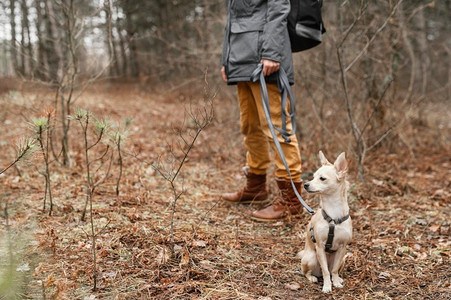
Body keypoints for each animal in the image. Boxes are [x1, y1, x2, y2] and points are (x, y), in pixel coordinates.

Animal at [300, 151, 354, 292]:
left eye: (322, 178)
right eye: (313, 177)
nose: (305, 184)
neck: (333, 216)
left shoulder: (342, 248)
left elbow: (333, 270)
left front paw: (335, 282)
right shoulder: (320, 246)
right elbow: (325, 271)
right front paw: (327, 286)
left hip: (342, 259)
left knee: (333, 270)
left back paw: (338, 278)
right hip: (312, 258)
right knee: (307, 272)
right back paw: (312, 278)